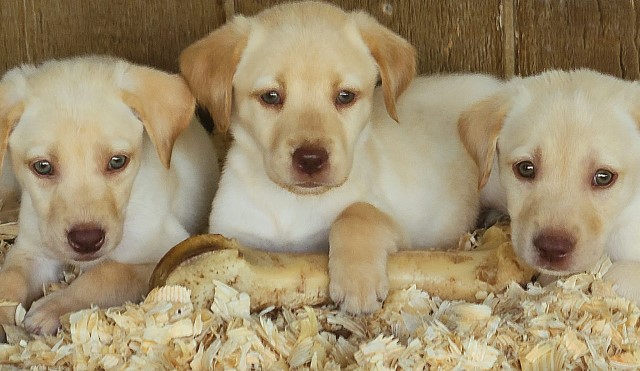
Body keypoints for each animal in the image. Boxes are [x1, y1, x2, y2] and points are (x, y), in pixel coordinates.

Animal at [0, 56, 219, 338]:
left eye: (117, 162)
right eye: (42, 167)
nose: (86, 241)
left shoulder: (168, 251)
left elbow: (108, 273)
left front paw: (53, 307)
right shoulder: (32, 251)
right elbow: (11, 278)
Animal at [180, 0, 500, 314]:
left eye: (345, 96)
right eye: (270, 96)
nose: (311, 159)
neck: (294, 202)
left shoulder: (401, 230)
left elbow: (356, 212)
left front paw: (358, 283)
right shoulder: (234, 231)